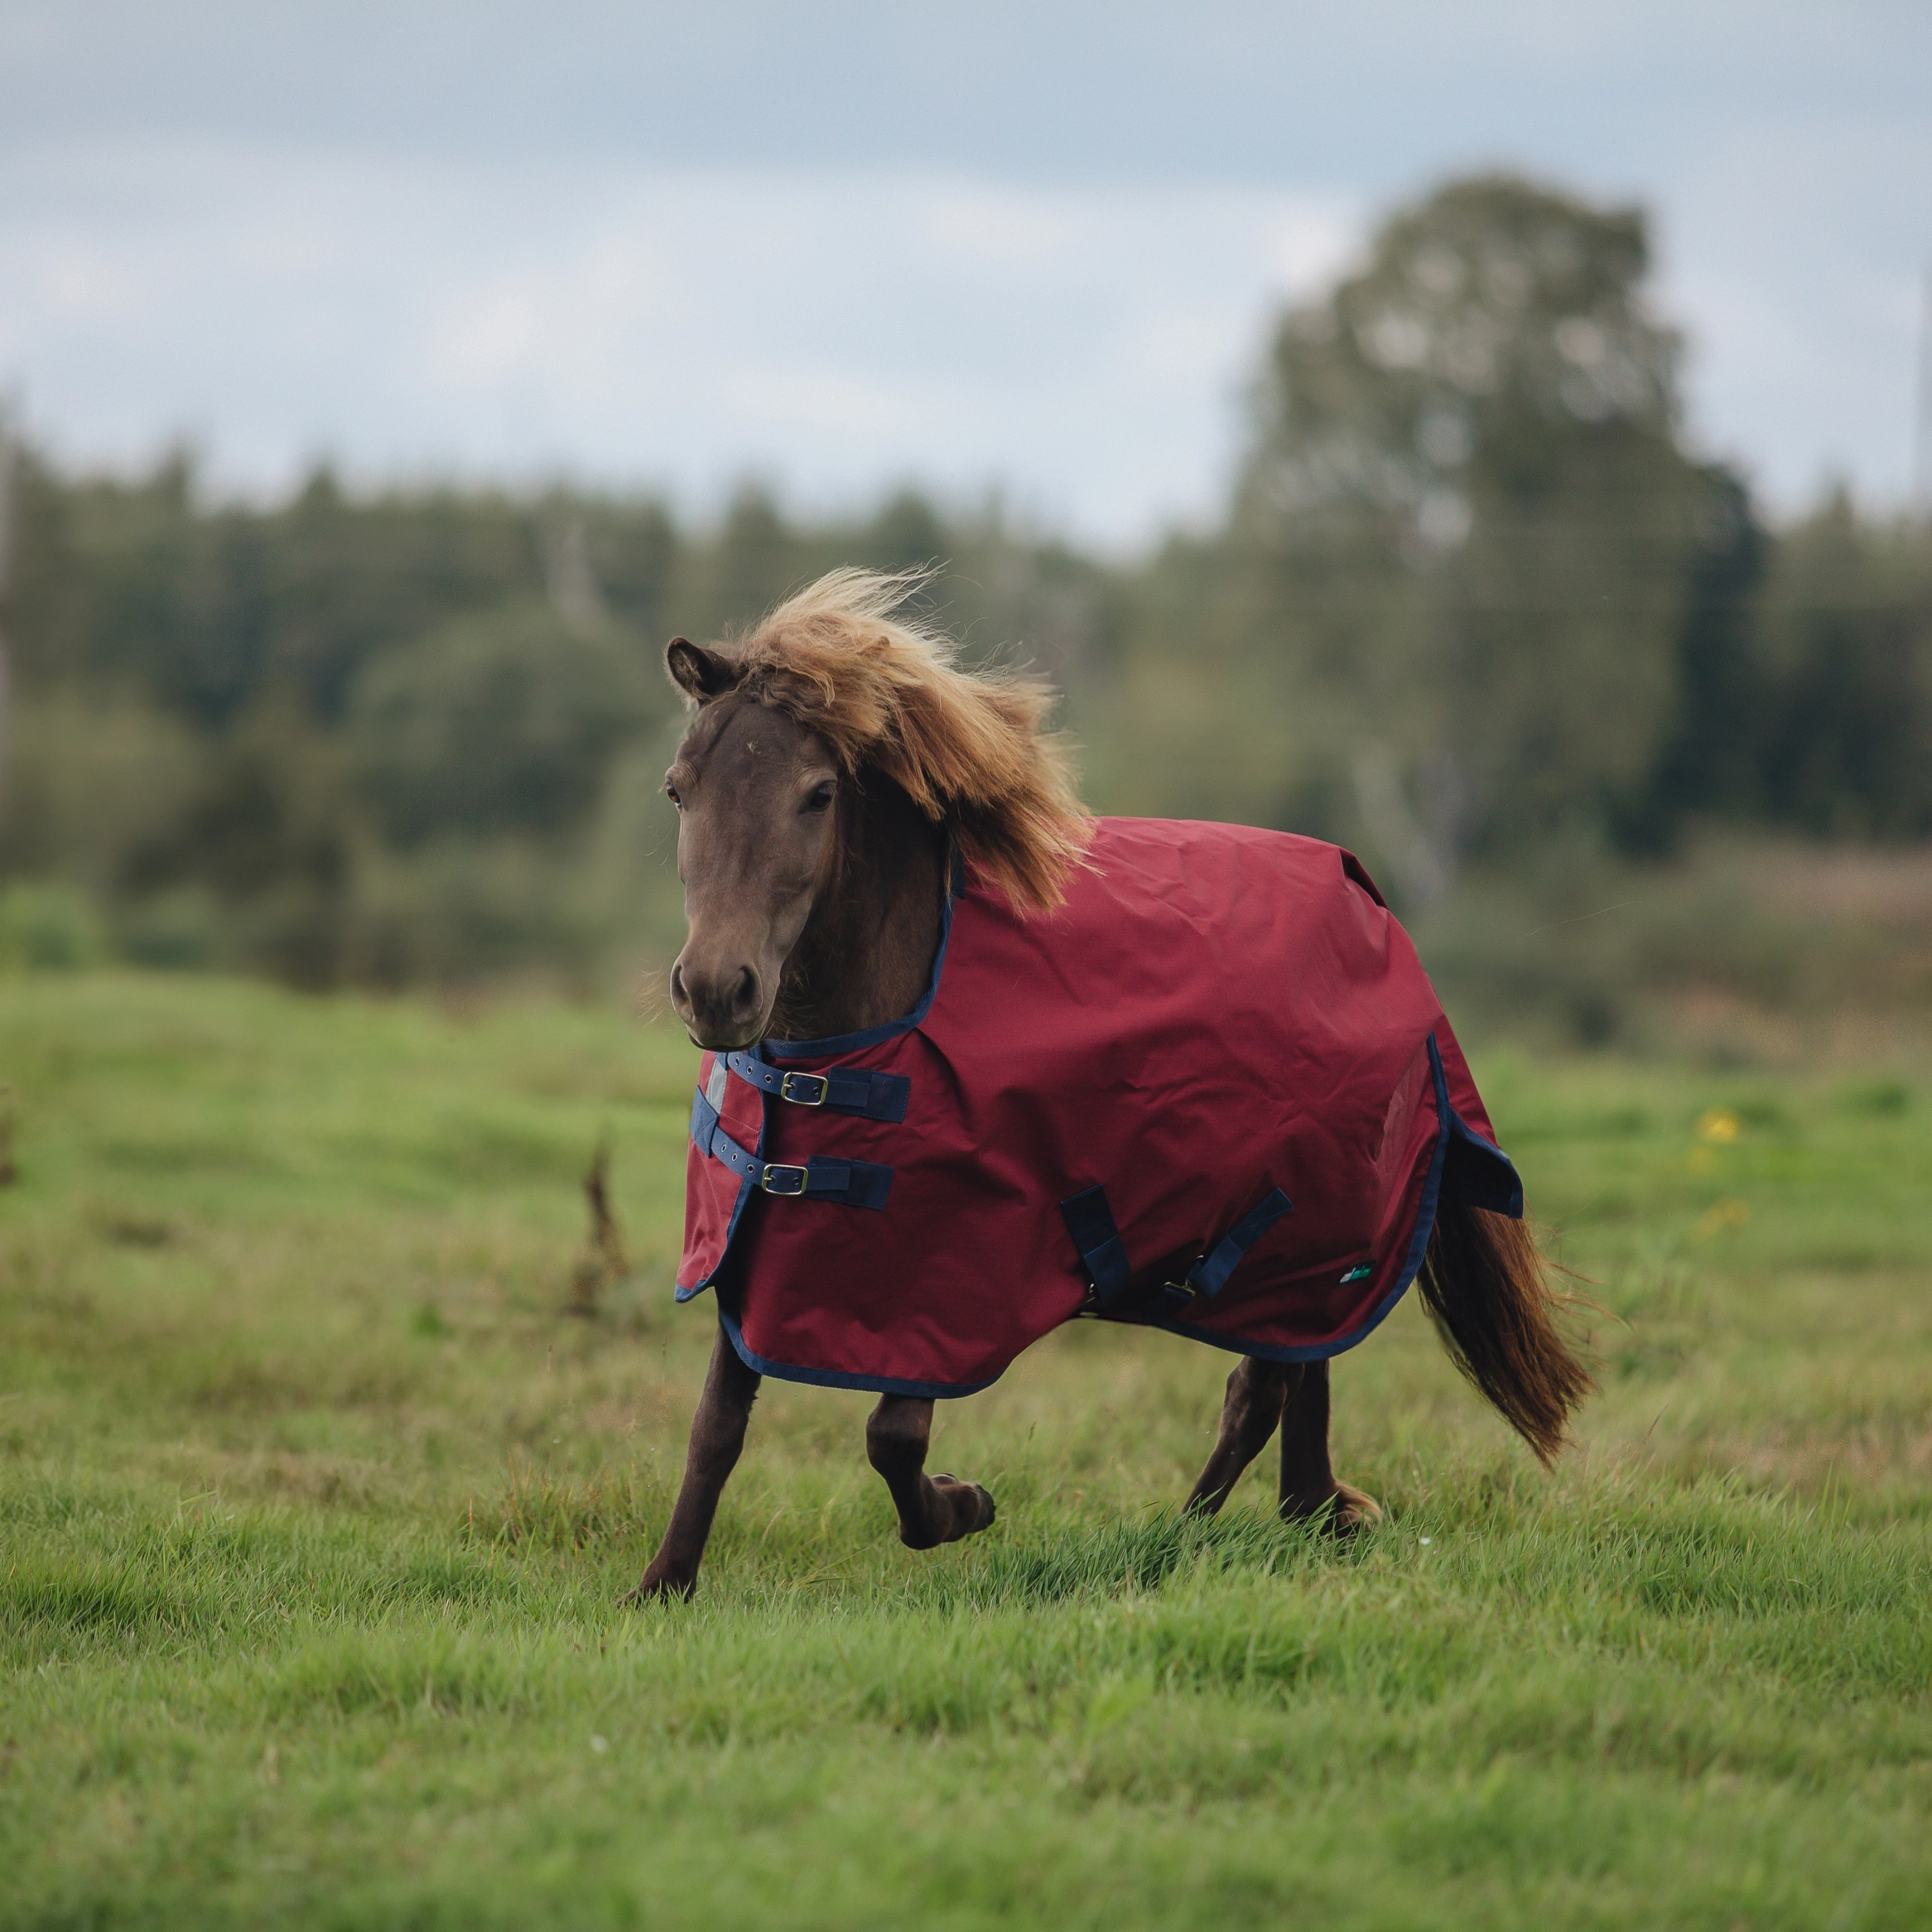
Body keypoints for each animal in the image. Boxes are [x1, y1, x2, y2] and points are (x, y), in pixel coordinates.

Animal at [626, 569, 1590, 1601]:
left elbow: (892, 1437)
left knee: (1262, 1385)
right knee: (1296, 1373)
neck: (848, 1041)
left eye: (816, 794)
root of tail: (1371, 901)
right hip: (1302, 1247)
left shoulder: (947, 1279)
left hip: (1293, 1222)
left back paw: (1181, 1538)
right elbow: (717, 1424)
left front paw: (965, 1504)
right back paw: (1304, 1515)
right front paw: (663, 1584)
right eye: (677, 788)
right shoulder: (759, 1245)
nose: (716, 989)